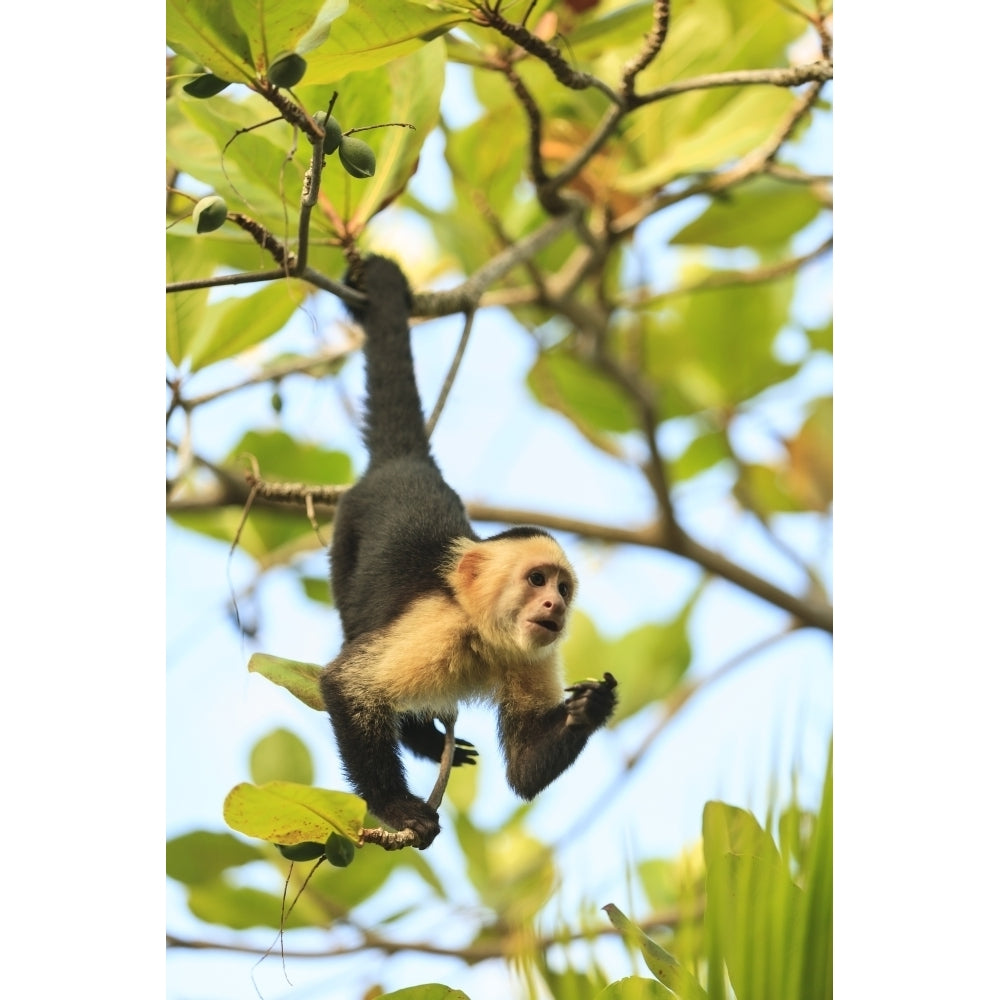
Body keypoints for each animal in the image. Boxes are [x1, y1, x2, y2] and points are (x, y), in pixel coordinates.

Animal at [320, 254, 616, 848]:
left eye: (563, 587)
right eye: (536, 580)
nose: (555, 605)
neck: (483, 633)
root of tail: (407, 462)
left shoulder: (532, 653)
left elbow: (522, 769)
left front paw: (591, 707)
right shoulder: (436, 625)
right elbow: (345, 687)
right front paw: (397, 806)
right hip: (346, 528)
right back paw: (421, 738)